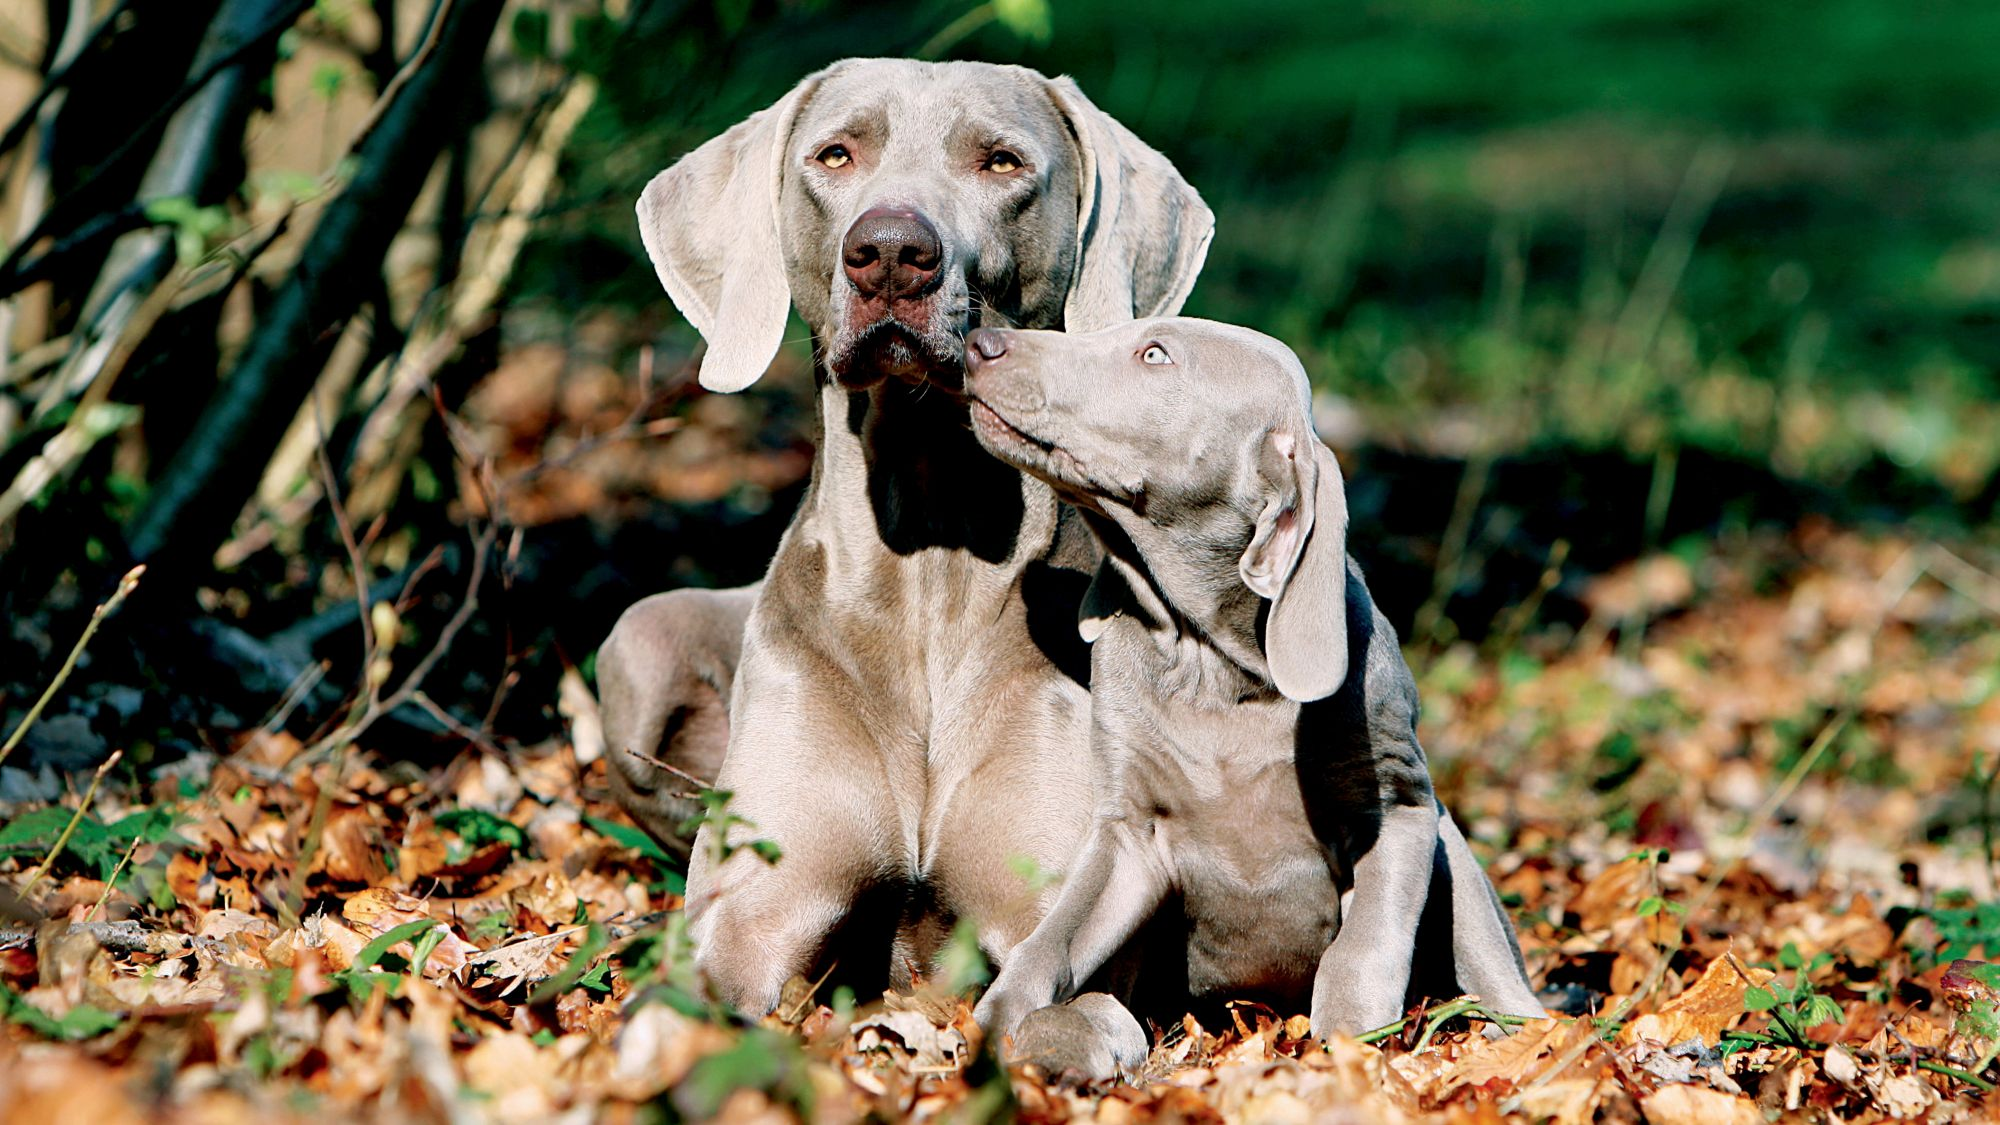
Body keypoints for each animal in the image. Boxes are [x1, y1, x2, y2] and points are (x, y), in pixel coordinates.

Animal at [608, 57, 1208, 1012]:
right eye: (836, 154)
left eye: (1001, 163)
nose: (889, 251)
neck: (930, 554)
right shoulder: (748, 918)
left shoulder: (1073, 931)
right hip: (642, 635)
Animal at [964, 318, 1544, 1048]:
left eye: (1154, 354)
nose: (979, 342)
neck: (1216, 666)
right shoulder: (1128, 831)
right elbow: (1053, 940)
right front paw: (992, 1028)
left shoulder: (1399, 806)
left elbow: (1363, 945)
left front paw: (1348, 1044)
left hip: (1454, 852)